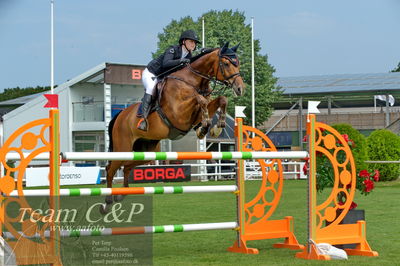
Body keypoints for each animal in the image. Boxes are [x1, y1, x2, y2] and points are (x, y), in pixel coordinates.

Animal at [100, 42, 244, 213]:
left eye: (238, 63)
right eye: (227, 63)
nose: (240, 88)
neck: (192, 80)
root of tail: (119, 116)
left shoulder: (195, 114)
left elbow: (221, 99)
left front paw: (216, 127)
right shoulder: (179, 115)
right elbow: (200, 99)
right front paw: (205, 128)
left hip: (147, 151)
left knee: (127, 167)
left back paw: (121, 194)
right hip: (123, 147)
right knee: (110, 169)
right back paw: (108, 202)